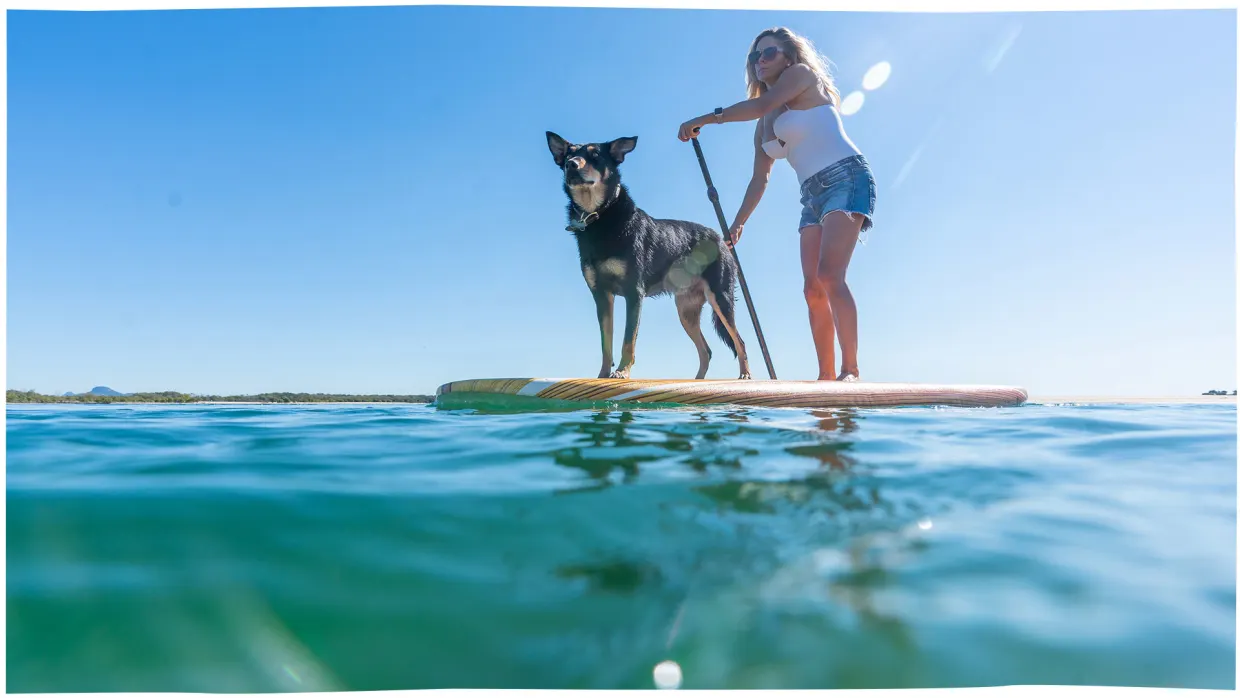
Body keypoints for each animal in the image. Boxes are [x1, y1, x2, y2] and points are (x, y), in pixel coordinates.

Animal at [545, 131, 753, 381]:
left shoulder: (634, 293)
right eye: (569, 154)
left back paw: (745, 375)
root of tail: (722, 240)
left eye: (595, 155)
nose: (571, 165)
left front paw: (622, 371)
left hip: (720, 297)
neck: (600, 214)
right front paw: (603, 374)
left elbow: (628, 339)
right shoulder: (601, 295)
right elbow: (606, 342)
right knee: (706, 350)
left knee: (740, 341)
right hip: (686, 310)